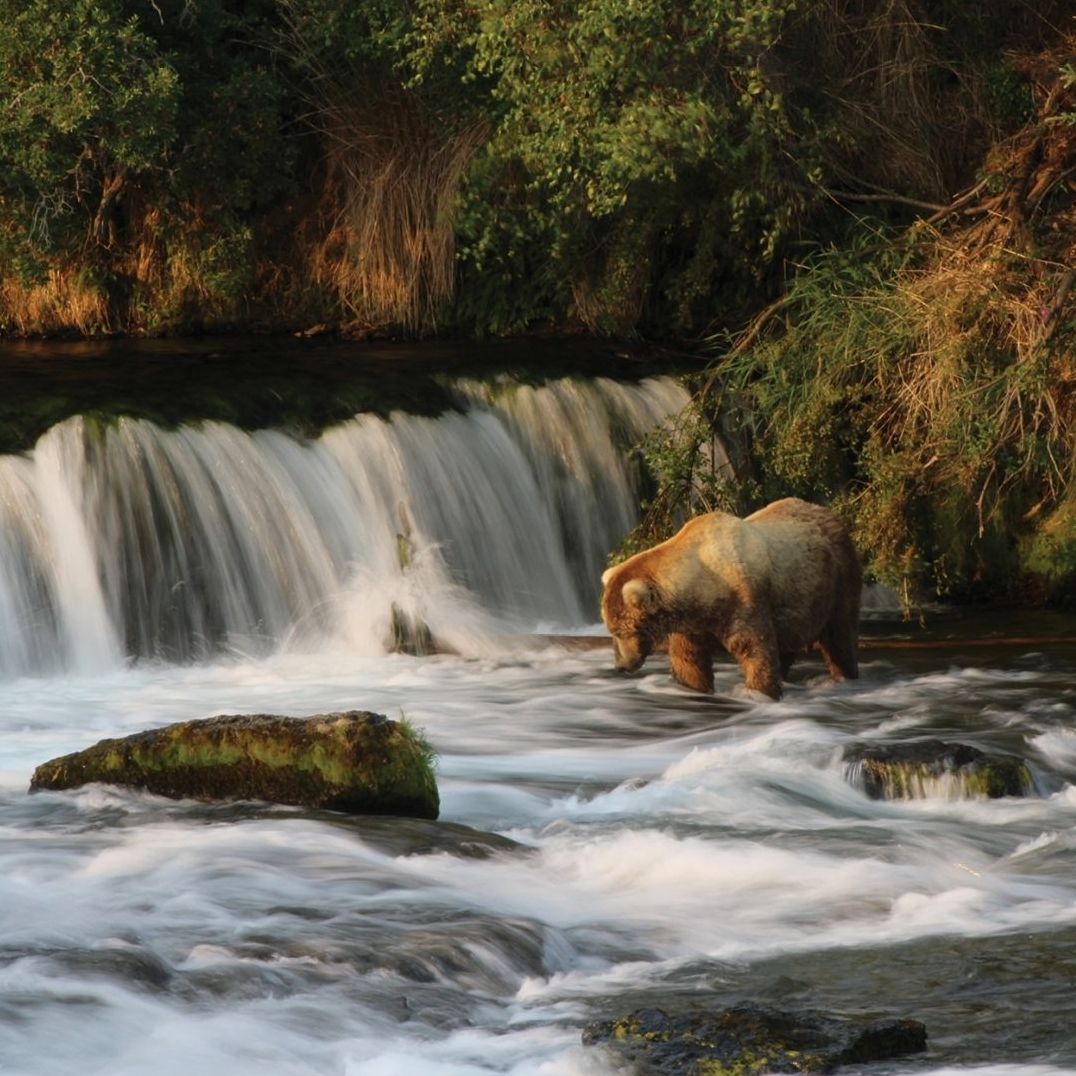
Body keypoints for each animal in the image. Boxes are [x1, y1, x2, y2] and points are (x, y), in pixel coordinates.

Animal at [600, 498, 861, 700]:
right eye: (611, 630)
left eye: (620, 631)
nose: (620, 666)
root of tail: (830, 512)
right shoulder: (692, 621)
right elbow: (688, 659)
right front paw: (692, 686)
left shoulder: (743, 596)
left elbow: (753, 647)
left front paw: (759, 691)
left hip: (835, 578)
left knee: (840, 634)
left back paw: (844, 676)